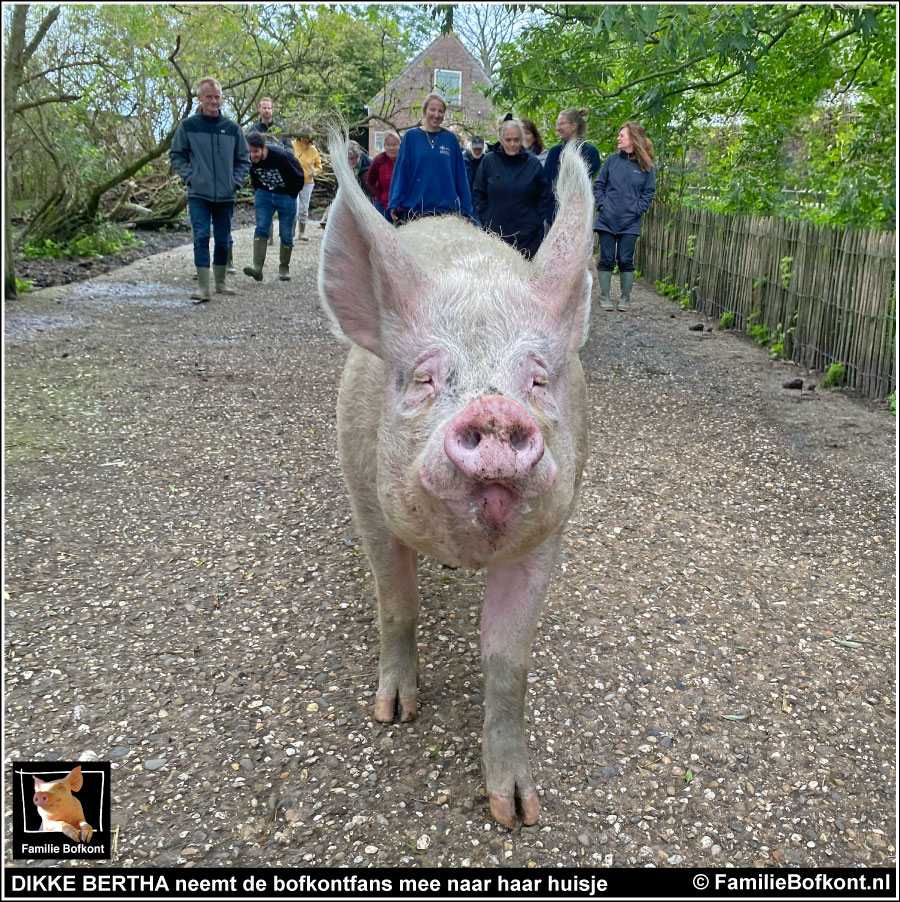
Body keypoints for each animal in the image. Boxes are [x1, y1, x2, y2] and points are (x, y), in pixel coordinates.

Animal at [318, 131, 596, 828]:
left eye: (538, 379)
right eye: (423, 377)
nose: (494, 411)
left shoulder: (551, 529)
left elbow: (507, 659)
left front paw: (517, 812)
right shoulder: (365, 496)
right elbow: (397, 604)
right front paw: (393, 714)